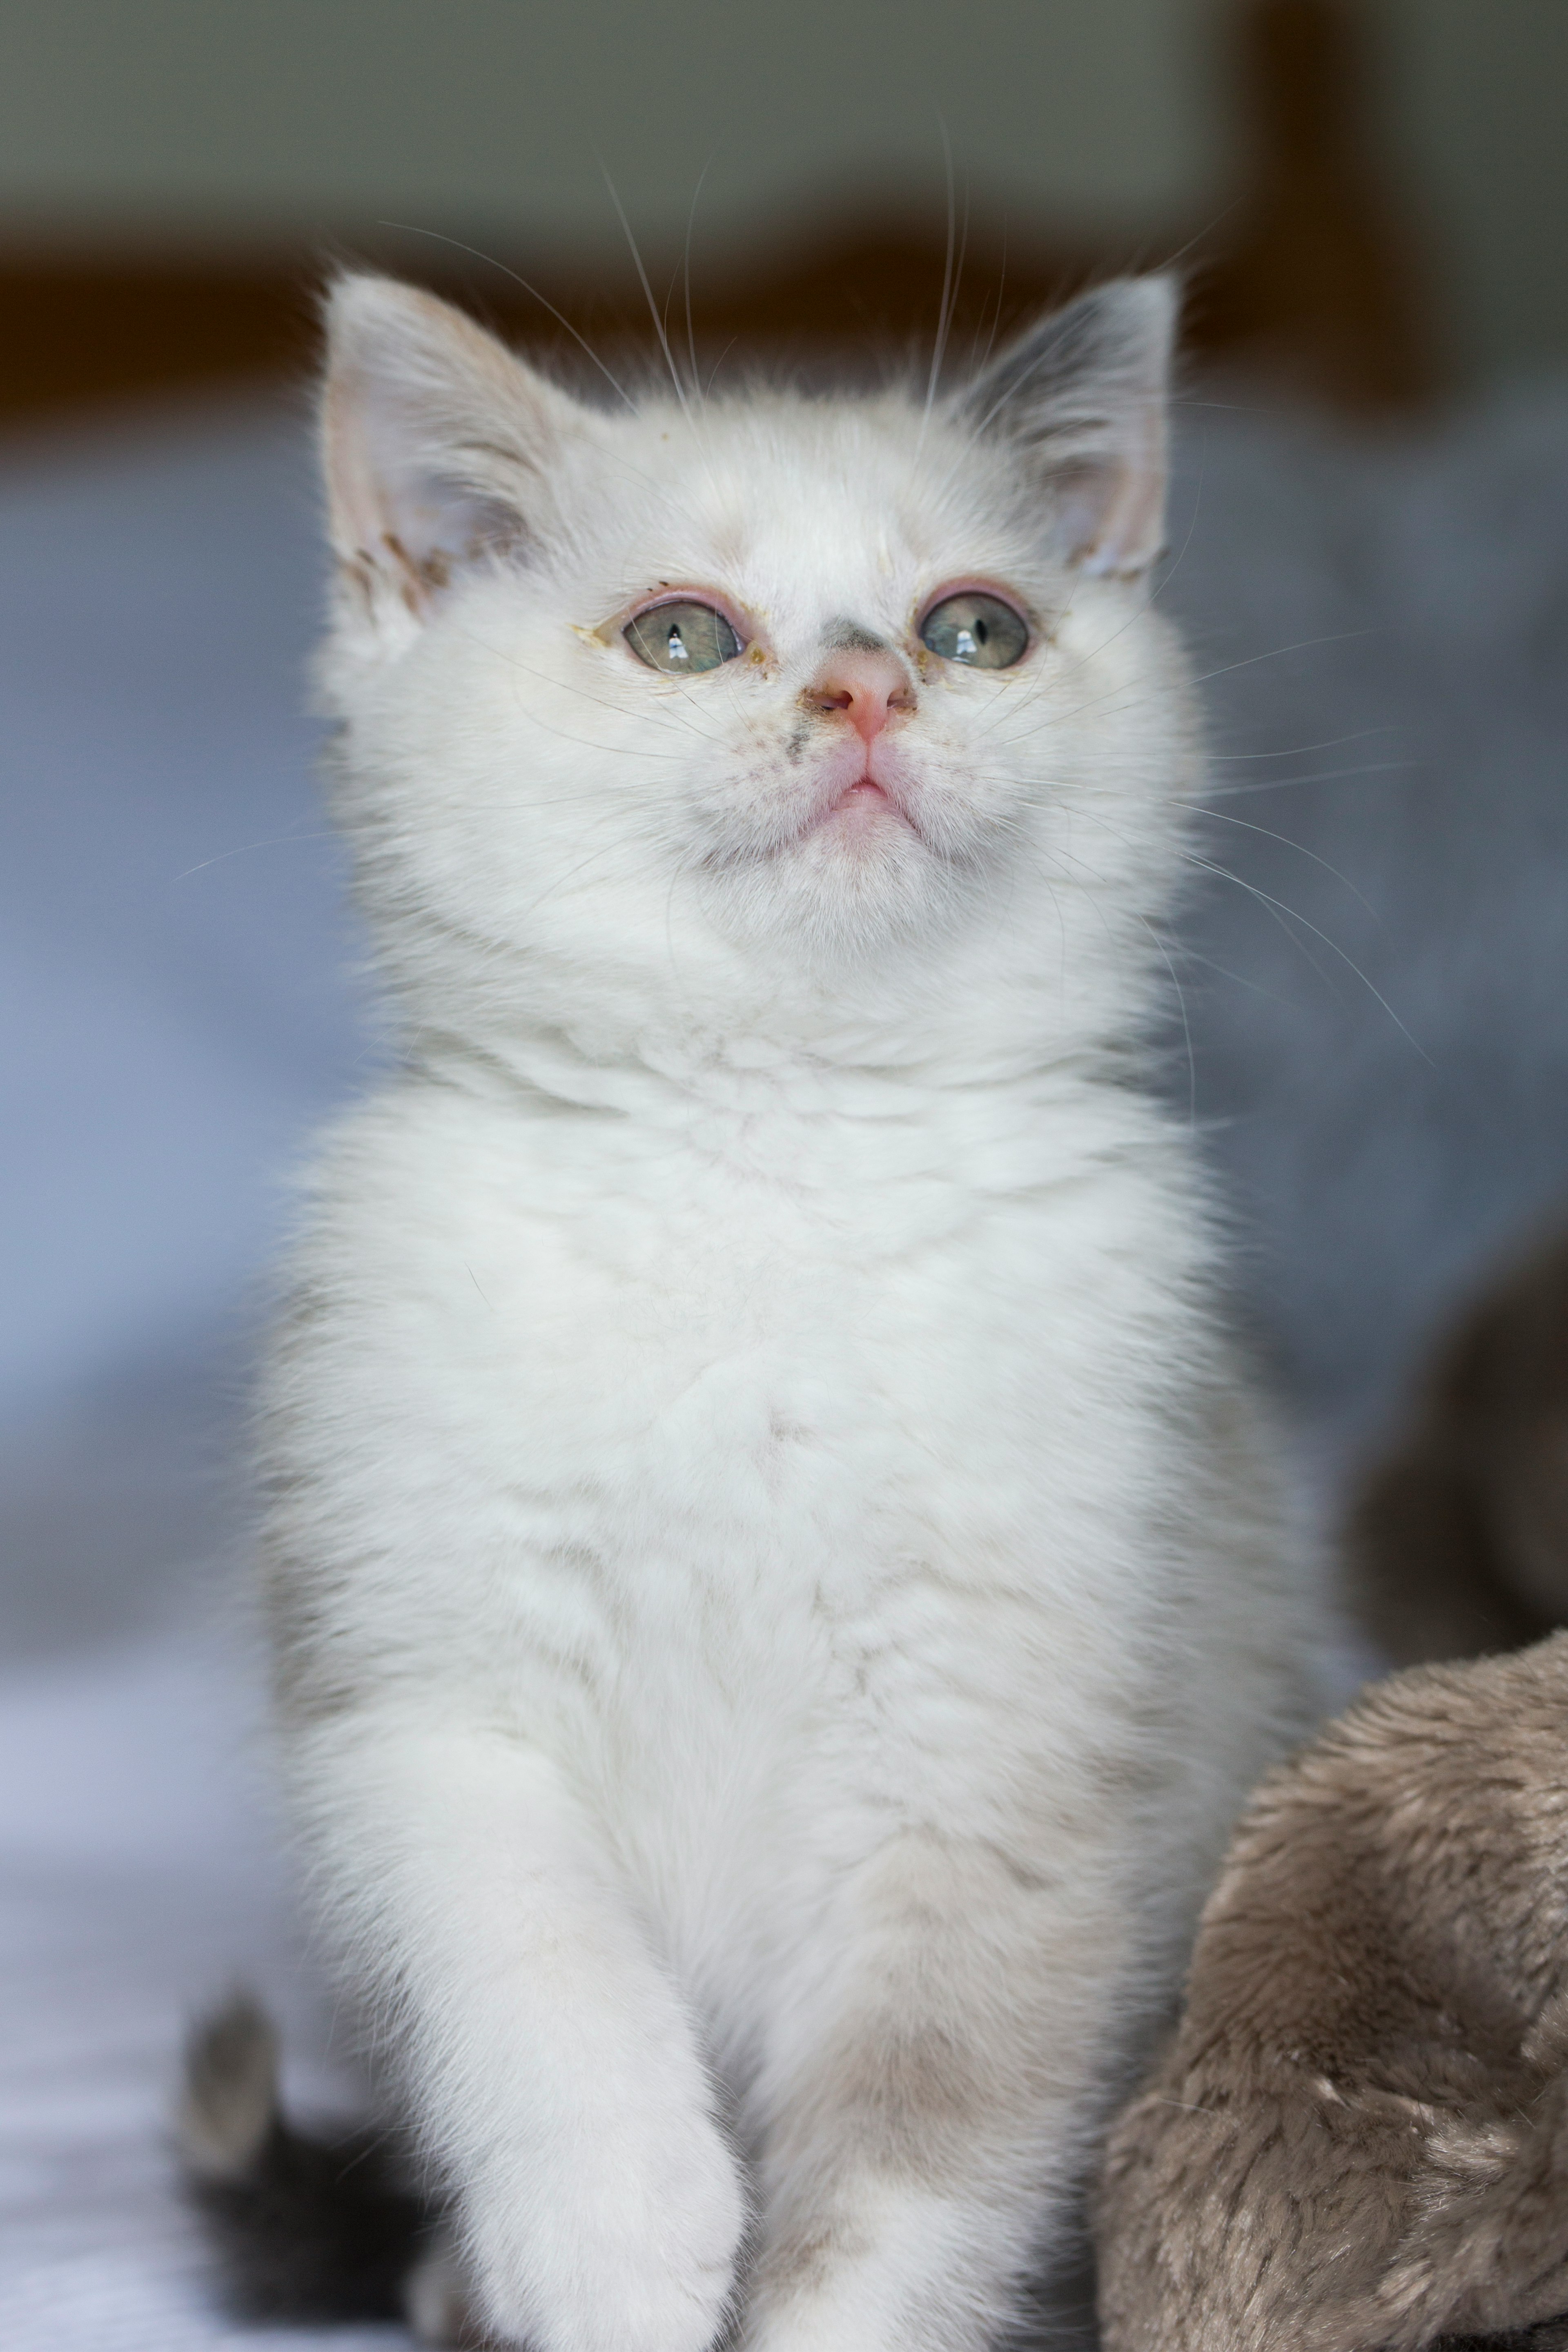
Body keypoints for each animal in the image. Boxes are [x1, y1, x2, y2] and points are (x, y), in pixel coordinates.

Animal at [263, 270, 1316, 2352]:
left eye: (976, 627)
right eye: (685, 633)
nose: (868, 691)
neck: (767, 1153)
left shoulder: (1008, 1760)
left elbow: (909, 2172)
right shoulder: (423, 1692)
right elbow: (530, 1977)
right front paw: (611, 2243)